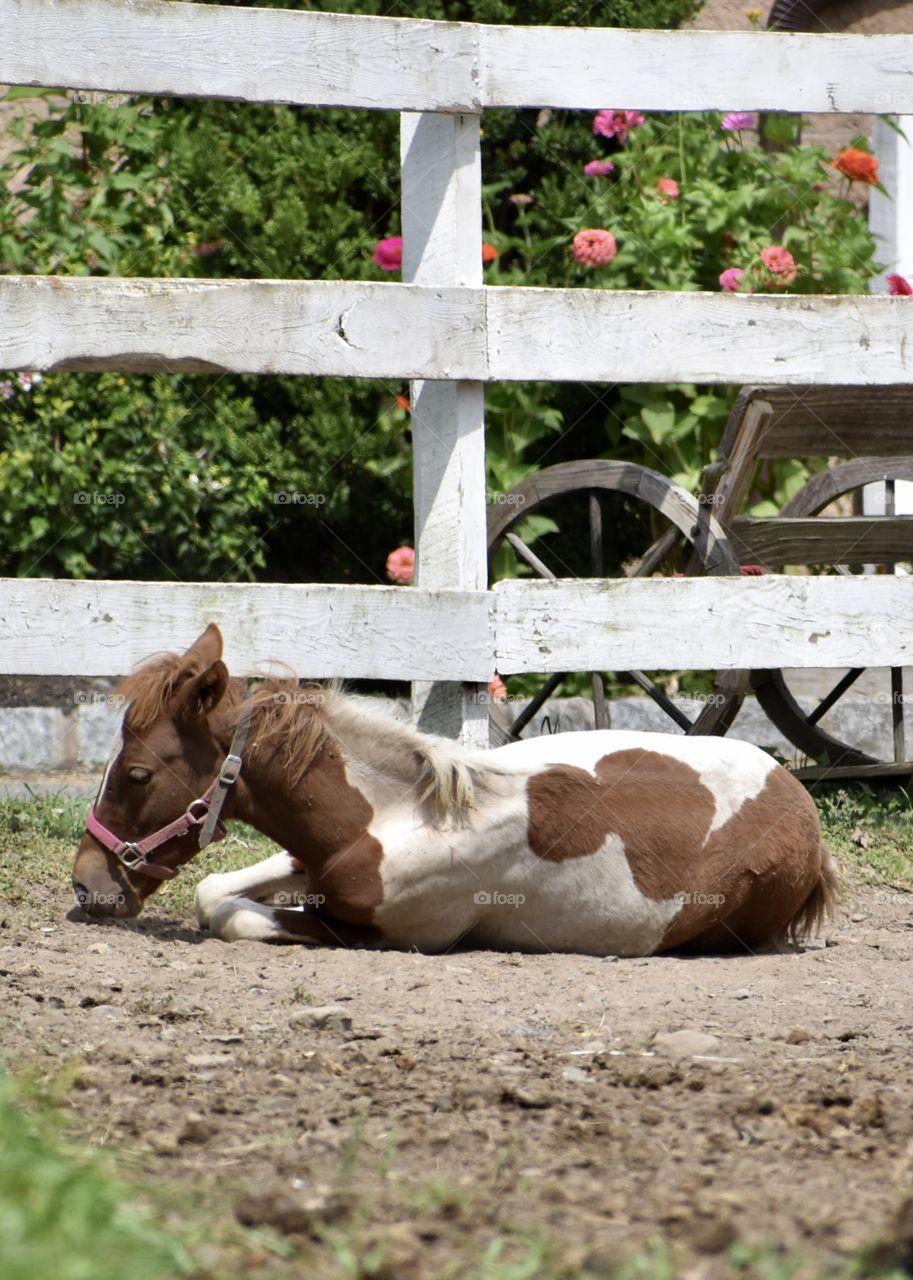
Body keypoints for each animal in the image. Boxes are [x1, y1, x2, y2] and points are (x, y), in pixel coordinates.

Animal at [72, 624, 834, 957]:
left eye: (138, 774)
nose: (87, 885)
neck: (398, 814)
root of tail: (798, 801)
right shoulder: (303, 857)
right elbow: (212, 893)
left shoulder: (389, 932)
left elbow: (232, 916)